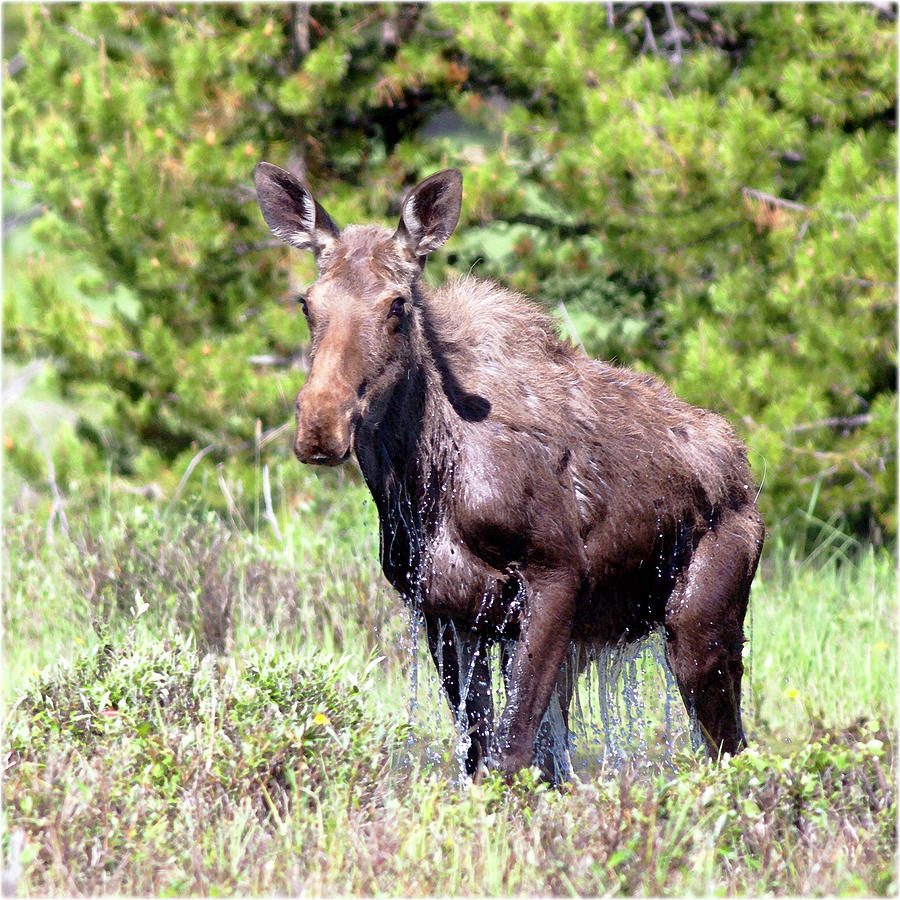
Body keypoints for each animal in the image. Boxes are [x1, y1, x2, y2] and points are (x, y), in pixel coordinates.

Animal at [255, 162, 768, 780]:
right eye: (307, 303)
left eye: (397, 305)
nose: (320, 423)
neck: (423, 478)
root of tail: (744, 469)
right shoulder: (447, 611)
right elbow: (481, 754)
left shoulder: (555, 573)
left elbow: (510, 755)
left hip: (701, 626)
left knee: (733, 748)